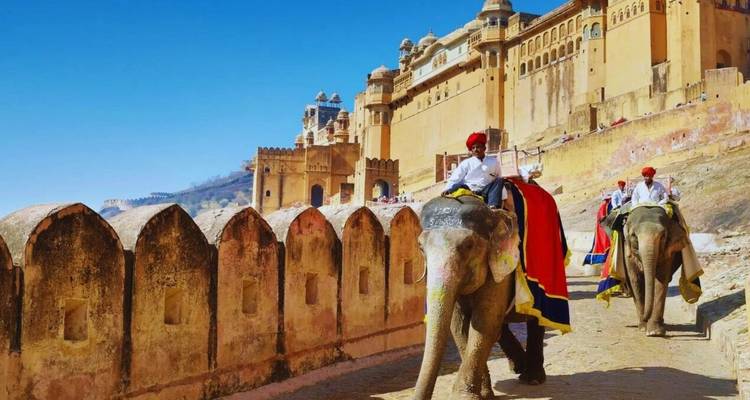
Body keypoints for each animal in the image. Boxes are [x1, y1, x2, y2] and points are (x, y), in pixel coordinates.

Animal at [413, 195, 521, 400]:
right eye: (420, 247)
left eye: (468, 245)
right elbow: (459, 326)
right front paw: (484, 394)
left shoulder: (500, 270)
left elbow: (484, 323)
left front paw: (462, 396)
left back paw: (534, 378)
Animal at [622, 205, 689, 336]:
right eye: (634, 236)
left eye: (663, 236)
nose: (644, 318)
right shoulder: (628, 251)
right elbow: (636, 280)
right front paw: (643, 327)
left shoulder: (668, 252)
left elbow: (661, 280)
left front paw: (655, 332)